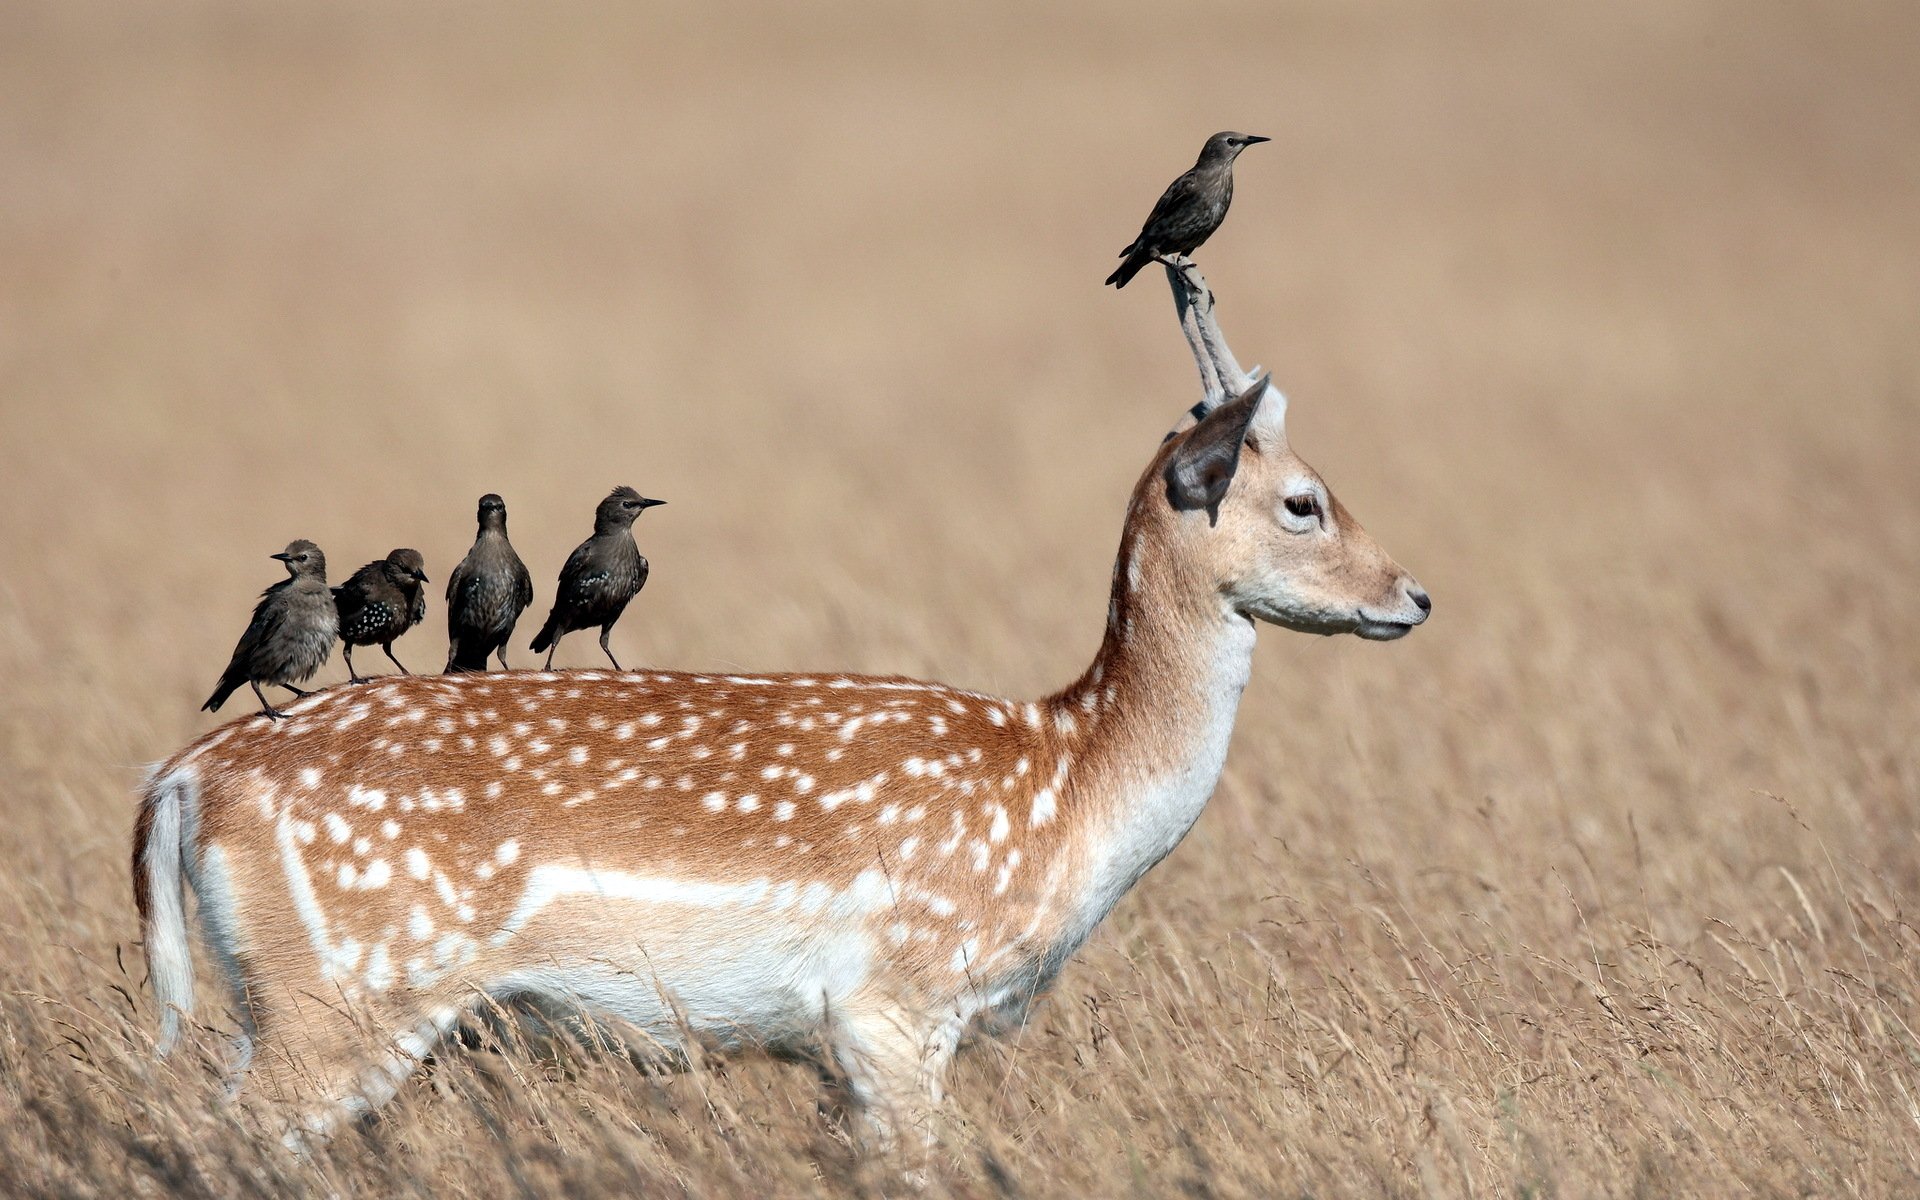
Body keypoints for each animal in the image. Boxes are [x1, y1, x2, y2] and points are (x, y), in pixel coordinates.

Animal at [132, 261, 1430, 1157]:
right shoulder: (895, 1003)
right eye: (1305, 500)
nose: (1413, 595)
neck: (1067, 786)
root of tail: (181, 785)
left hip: (271, 996)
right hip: (337, 991)